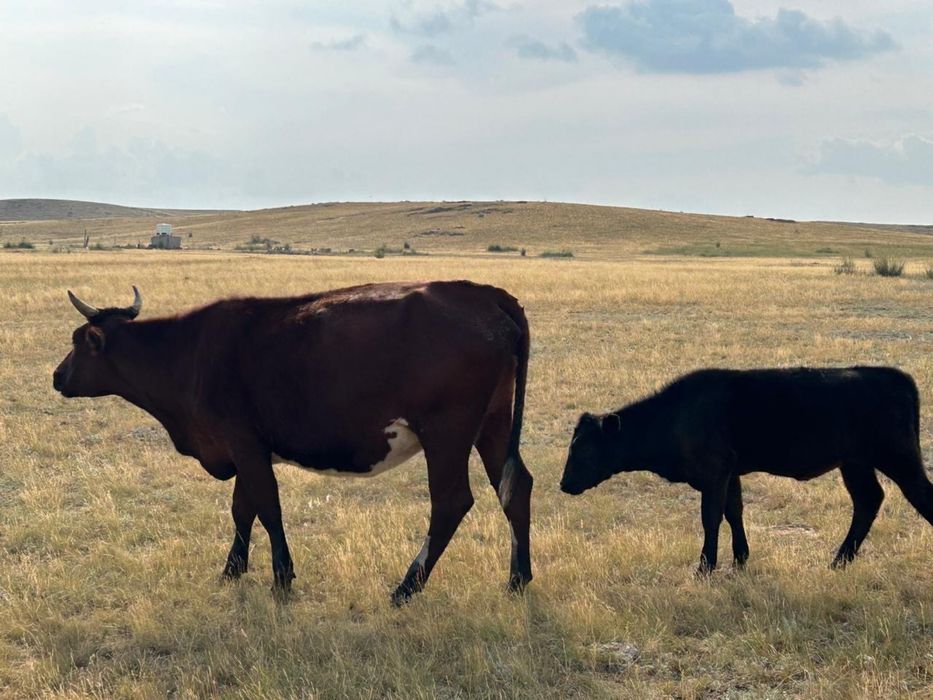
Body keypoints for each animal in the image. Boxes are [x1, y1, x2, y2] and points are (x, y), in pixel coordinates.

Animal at [53, 282, 533, 604]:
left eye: (77, 342)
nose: (56, 376)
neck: (188, 353)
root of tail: (481, 293)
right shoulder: (248, 448)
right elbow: (242, 508)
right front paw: (232, 570)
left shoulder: (243, 442)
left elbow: (266, 506)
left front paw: (281, 577)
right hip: (493, 424)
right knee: (516, 488)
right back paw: (517, 579)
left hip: (447, 432)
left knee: (451, 501)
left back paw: (405, 588)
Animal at [560, 367, 932, 574]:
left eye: (584, 447)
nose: (564, 484)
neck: (676, 414)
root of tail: (896, 377)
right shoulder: (731, 474)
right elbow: (734, 511)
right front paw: (740, 558)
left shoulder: (714, 472)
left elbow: (711, 517)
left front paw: (705, 566)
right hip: (855, 465)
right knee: (868, 501)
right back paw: (839, 561)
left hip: (899, 461)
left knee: (916, 498)